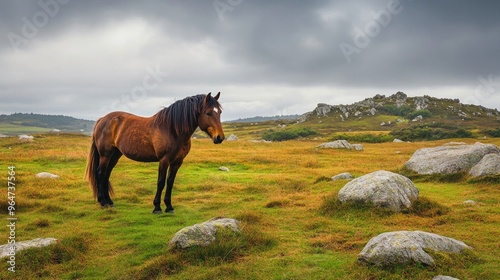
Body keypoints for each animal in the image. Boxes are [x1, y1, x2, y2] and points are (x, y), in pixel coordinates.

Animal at [85, 93, 226, 213]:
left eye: (219, 112)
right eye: (208, 113)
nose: (220, 138)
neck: (173, 130)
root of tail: (102, 119)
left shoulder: (177, 162)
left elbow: (170, 182)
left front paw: (169, 207)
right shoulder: (164, 160)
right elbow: (161, 182)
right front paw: (157, 207)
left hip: (115, 155)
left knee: (106, 175)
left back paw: (109, 202)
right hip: (105, 155)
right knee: (100, 174)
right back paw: (103, 202)